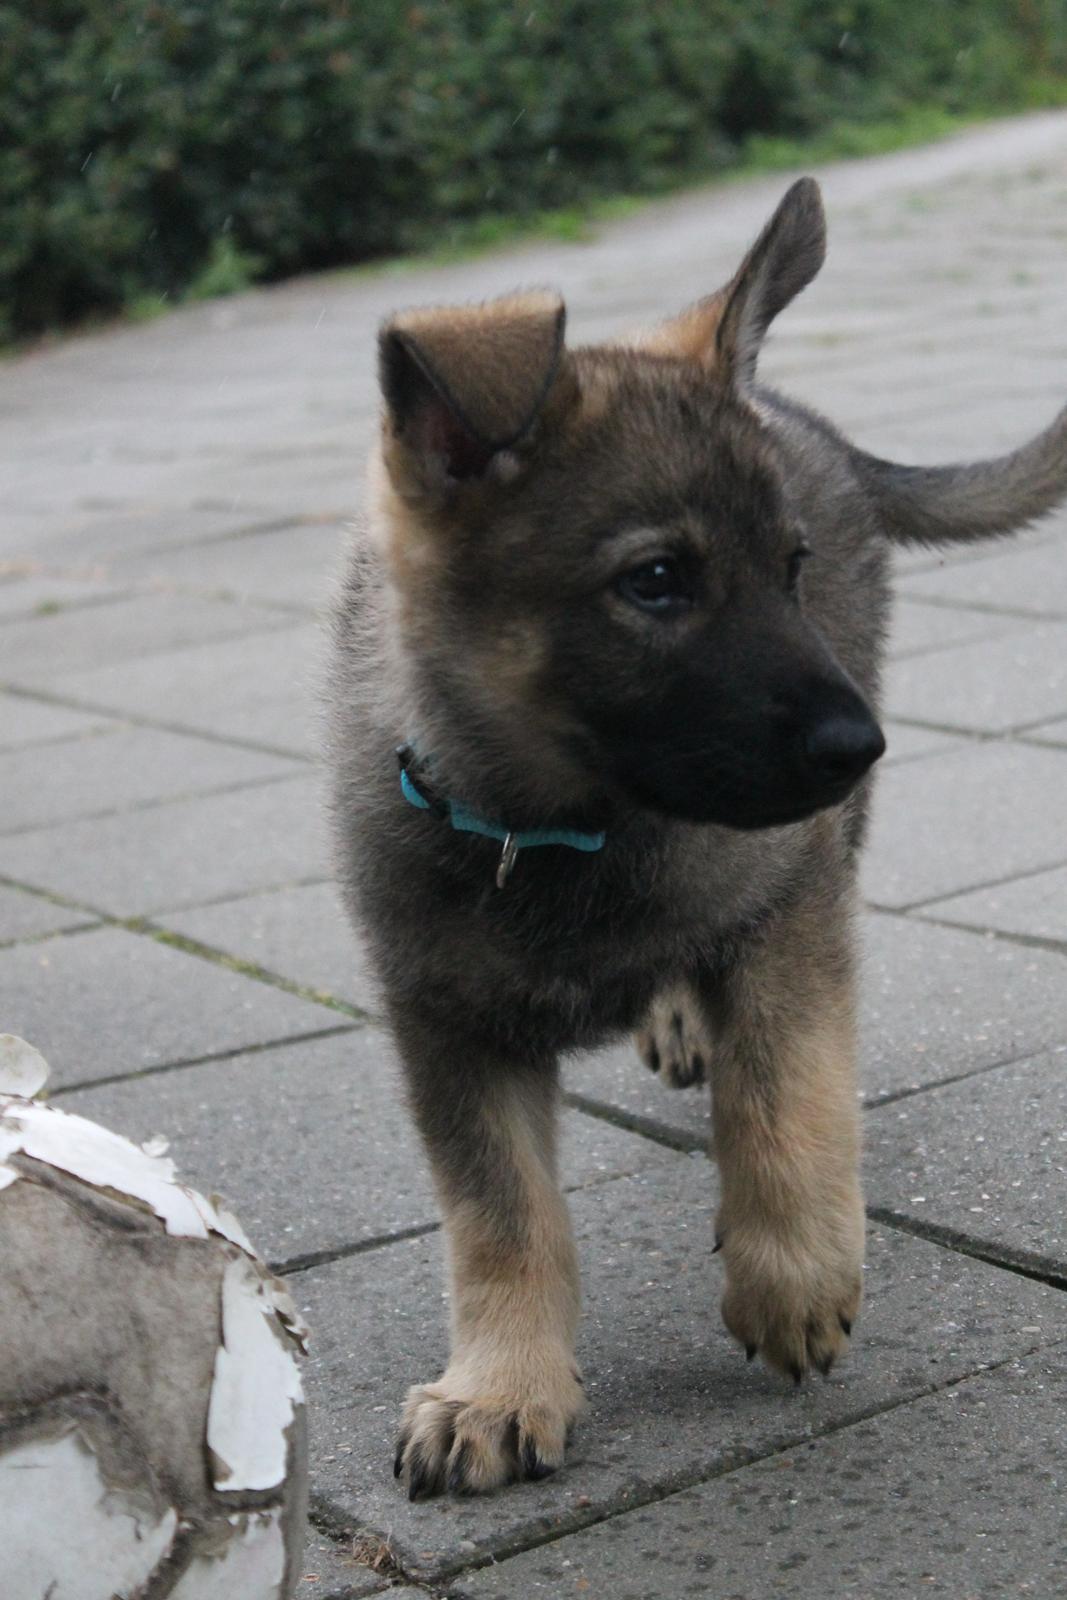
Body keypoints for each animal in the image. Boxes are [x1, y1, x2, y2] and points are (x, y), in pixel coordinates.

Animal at [329, 178, 1062, 1497]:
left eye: (790, 567)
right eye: (657, 579)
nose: (856, 745)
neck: (559, 828)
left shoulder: (784, 906)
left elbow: (779, 1091)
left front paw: (792, 1273)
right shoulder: (442, 1018)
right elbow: (499, 1214)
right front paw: (498, 1385)